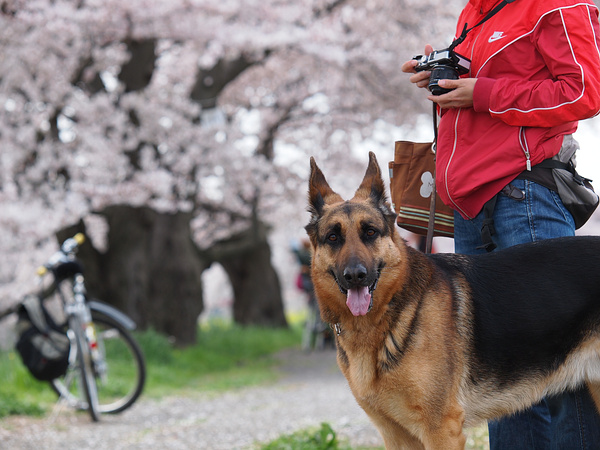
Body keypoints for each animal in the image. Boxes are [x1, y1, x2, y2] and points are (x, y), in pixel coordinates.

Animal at [308, 152, 600, 450]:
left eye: (370, 232)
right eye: (333, 237)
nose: (355, 276)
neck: (388, 316)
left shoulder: (441, 430)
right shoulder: (397, 436)